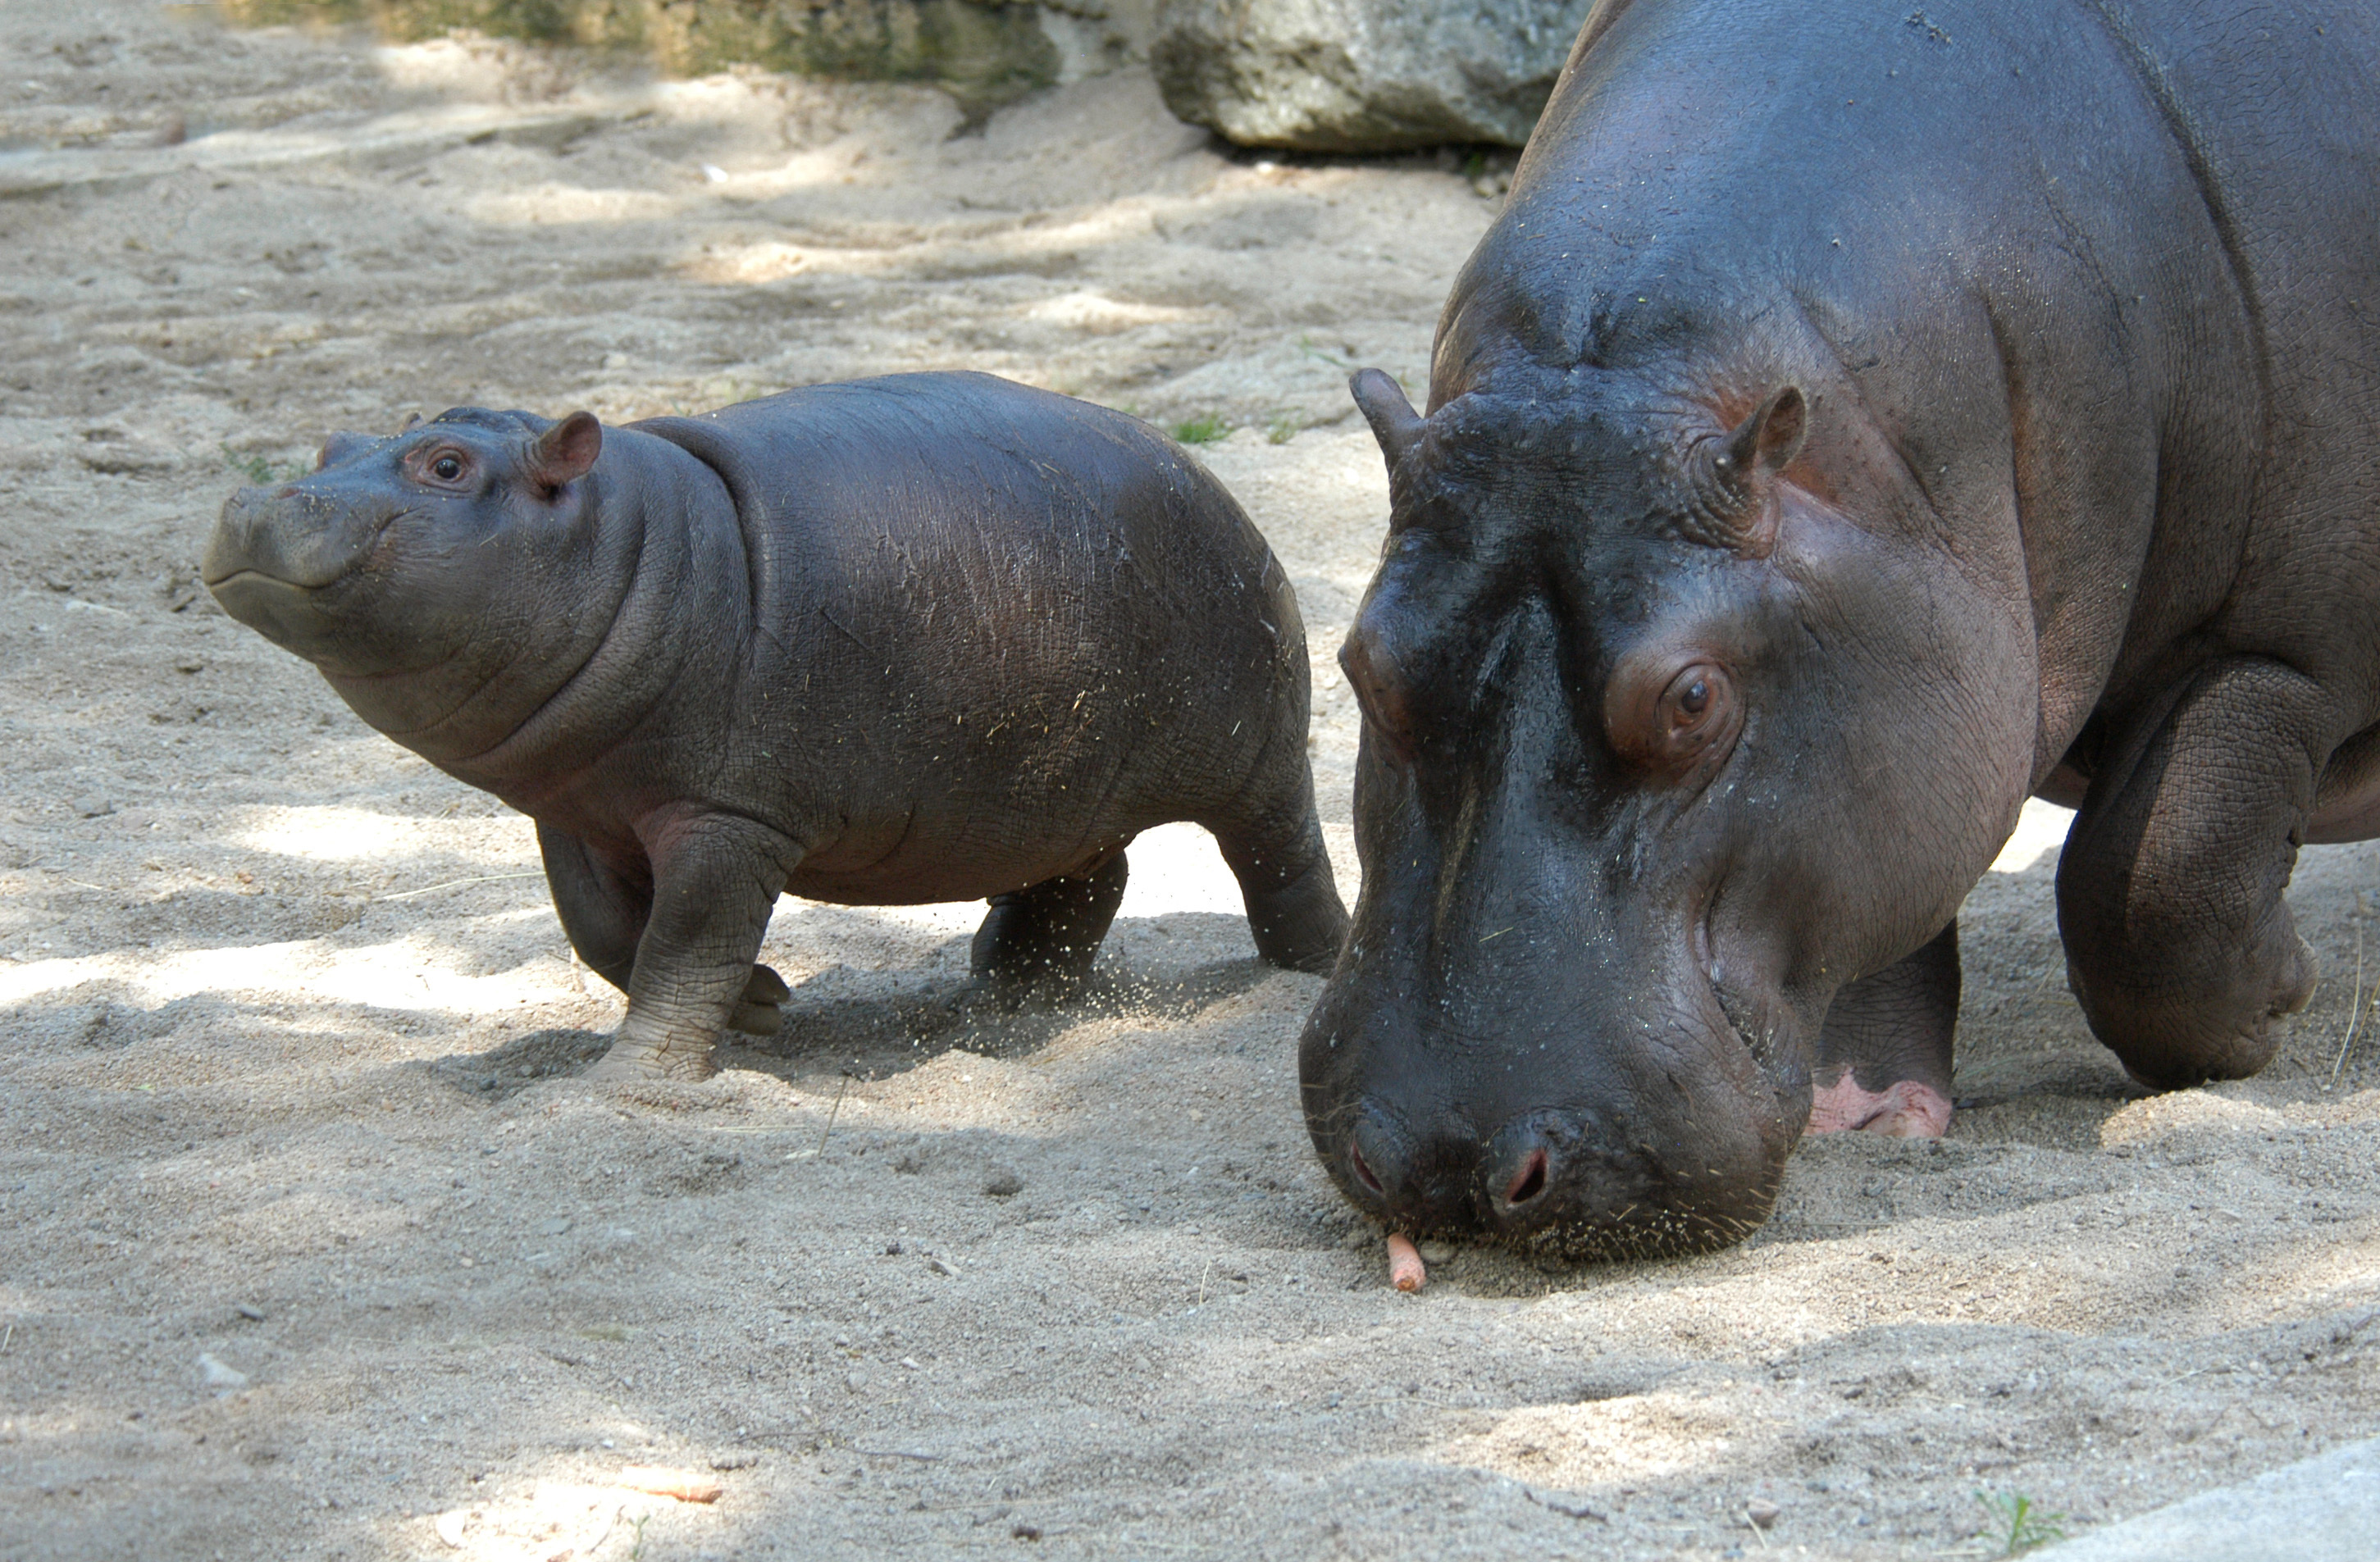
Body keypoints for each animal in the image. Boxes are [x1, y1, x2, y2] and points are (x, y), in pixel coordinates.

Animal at [206, 372, 1347, 1080]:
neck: (631, 540)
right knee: (1086, 878)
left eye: (445, 465)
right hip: (1051, 779)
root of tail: (1204, 472)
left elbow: (684, 945)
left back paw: (1312, 969)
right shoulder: (576, 812)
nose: (258, 498)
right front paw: (761, 1006)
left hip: (1254, 752)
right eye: (336, 444)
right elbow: (603, 932)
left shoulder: (729, 816)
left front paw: (630, 1081)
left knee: (1279, 856)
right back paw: (1003, 992)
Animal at [1302, 0, 2380, 1258]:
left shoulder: (2277, 653)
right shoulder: (1904, 678)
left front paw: (2280, 997)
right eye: (1361, 663)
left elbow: (2149, 888)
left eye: (1692, 699)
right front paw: (1866, 1110)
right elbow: (1888, 894)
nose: (1448, 1161)